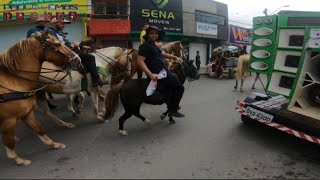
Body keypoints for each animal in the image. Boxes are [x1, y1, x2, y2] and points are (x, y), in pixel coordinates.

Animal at [0, 31, 82, 165]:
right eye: (57, 44)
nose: (78, 60)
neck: (13, 81)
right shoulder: (9, 120)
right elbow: (10, 143)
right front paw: (18, 159)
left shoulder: (27, 113)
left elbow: (38, 129)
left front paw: (54, 144)